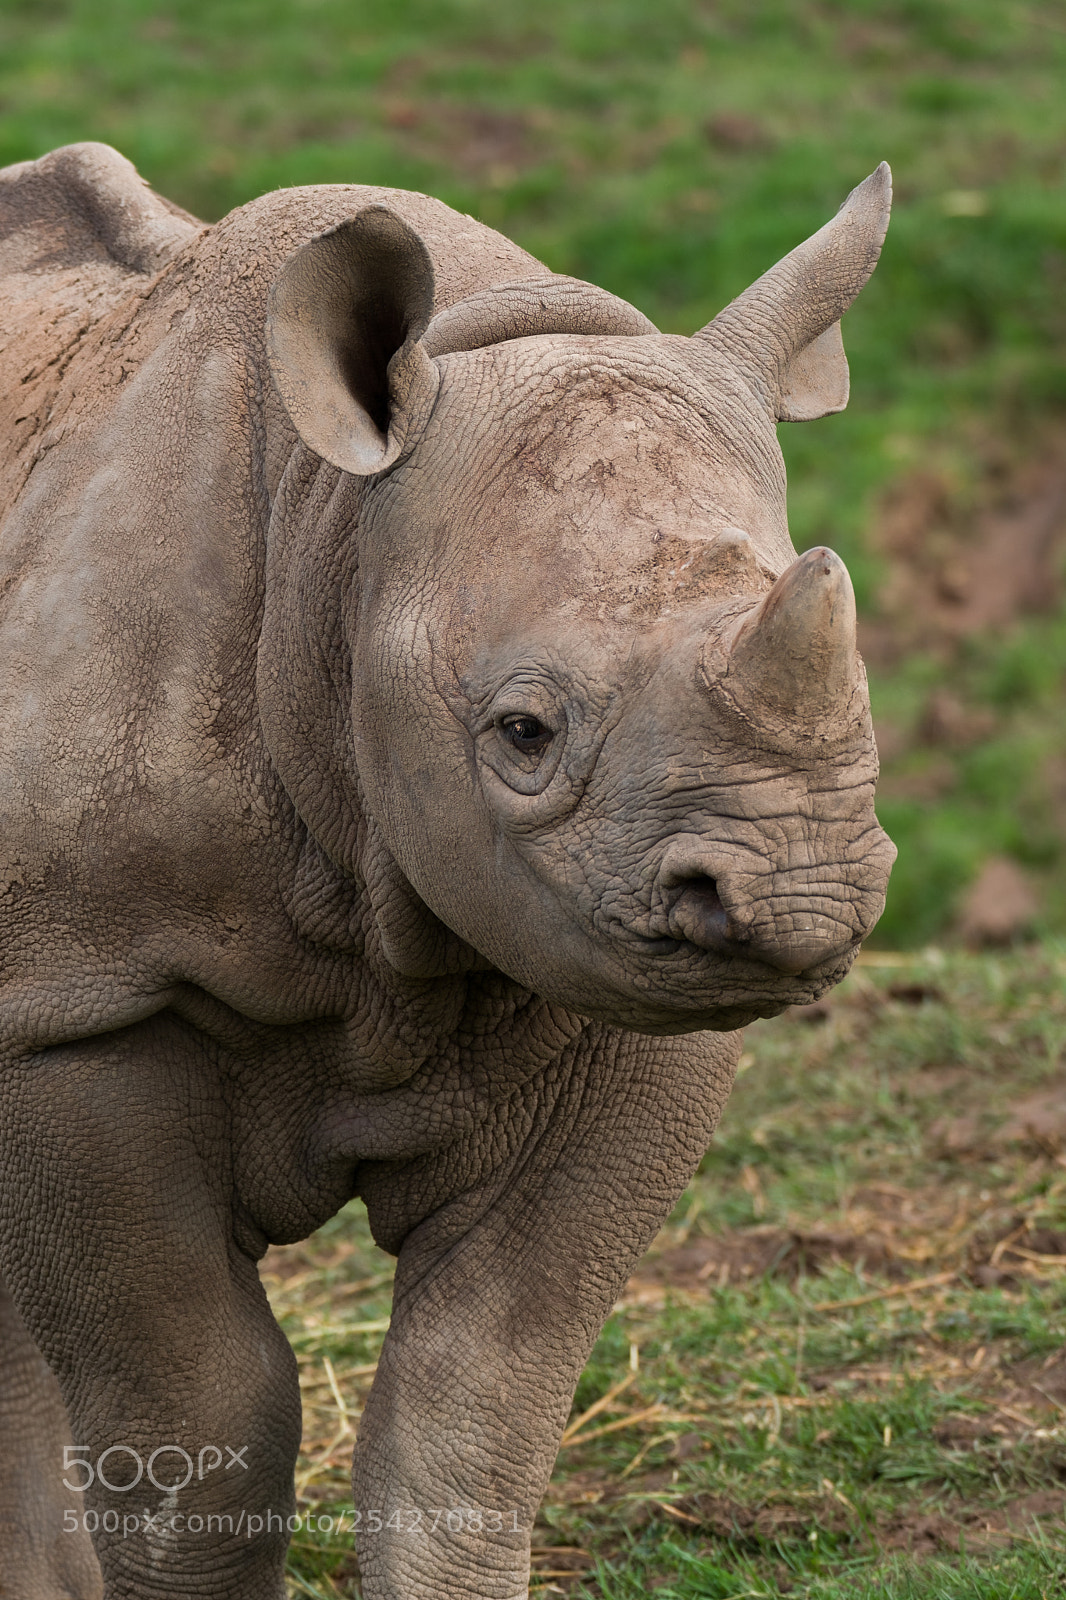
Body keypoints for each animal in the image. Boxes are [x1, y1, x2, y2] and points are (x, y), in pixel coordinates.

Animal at [0, 142, 894, 1600]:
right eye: (521, 733)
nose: (798, 899)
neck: (337, 542)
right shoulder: (78, 997)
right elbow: (197, 1425)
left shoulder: (621, 1029)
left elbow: (470, 1411)